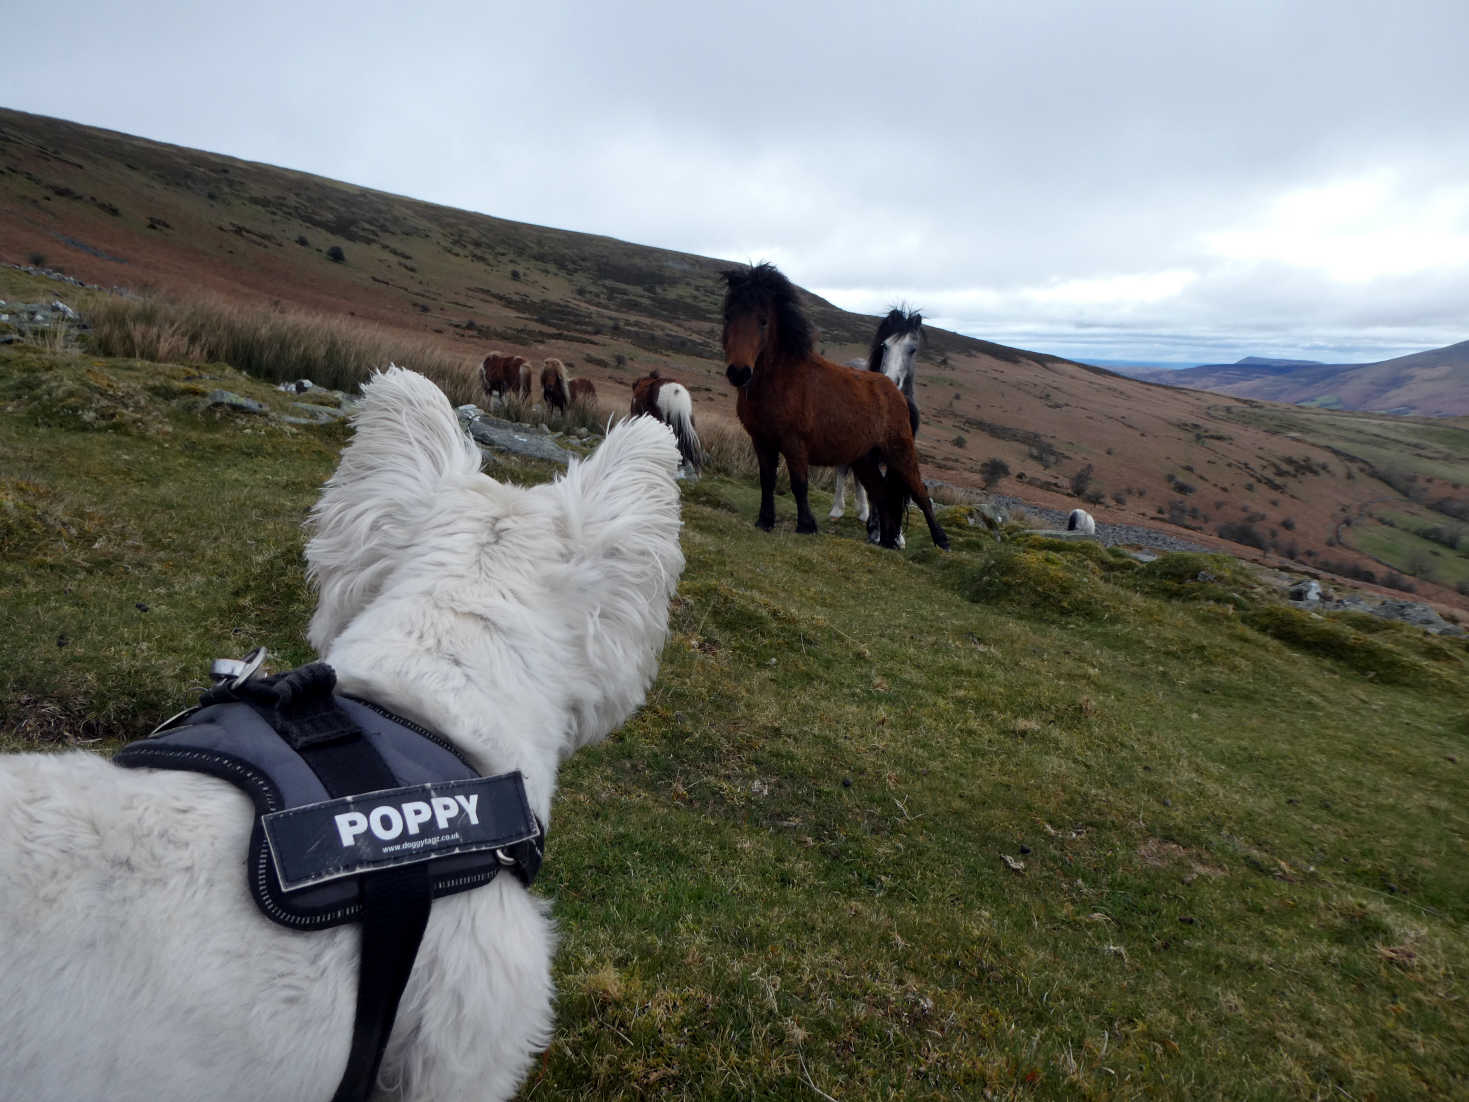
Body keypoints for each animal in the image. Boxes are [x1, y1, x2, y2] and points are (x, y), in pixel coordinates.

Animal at [834, 308, 922, 540]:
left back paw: (862, 512)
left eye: (913, 349)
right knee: (843, 469)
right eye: (885, 346)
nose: (890, 382)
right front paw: (875, 531)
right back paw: (837, 510)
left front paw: (897, 536)